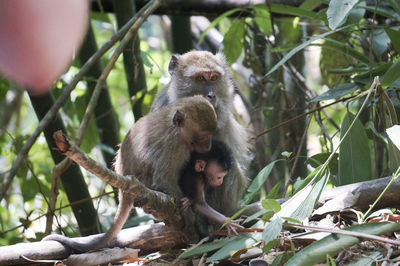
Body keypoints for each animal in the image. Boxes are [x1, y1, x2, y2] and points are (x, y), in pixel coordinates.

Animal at [44, 95, 217, 251]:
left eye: (211, 135)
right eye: (204, 137)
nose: (209, 145)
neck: (178, 131)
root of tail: (124, 190)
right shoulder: (174, 145)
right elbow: (163, 179)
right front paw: (188, 212)